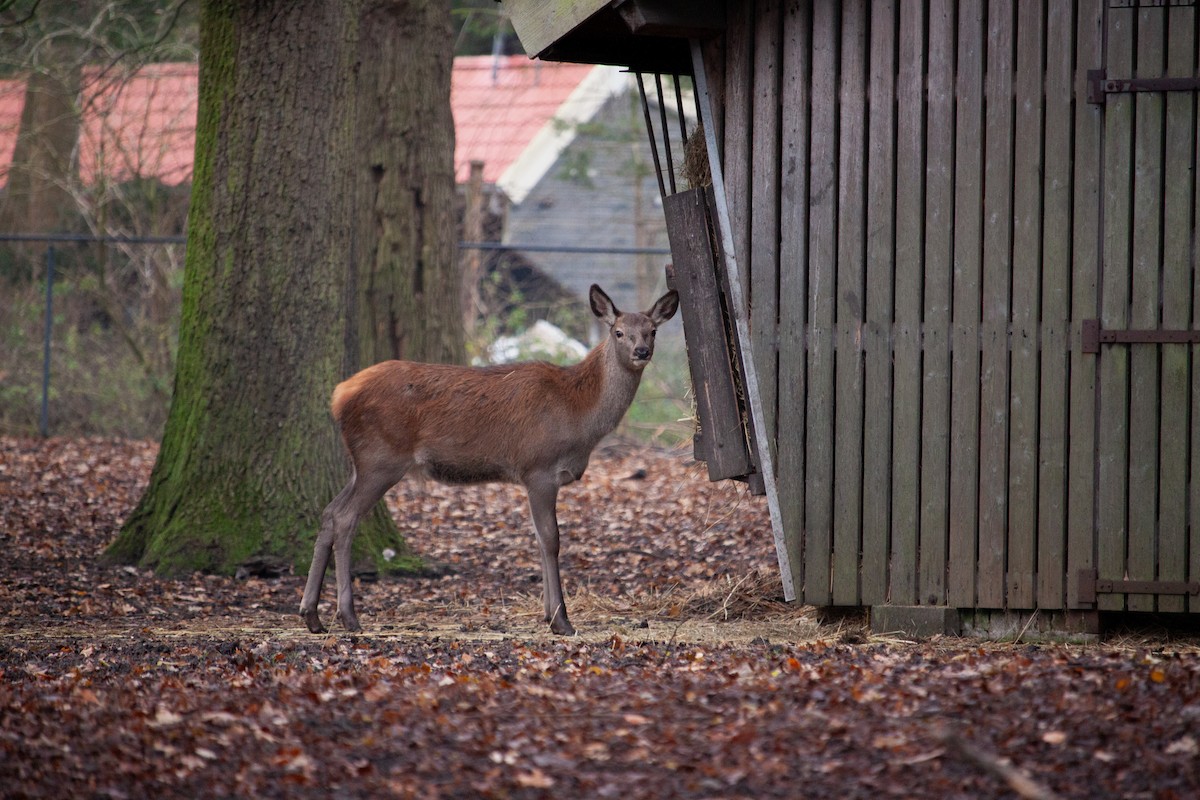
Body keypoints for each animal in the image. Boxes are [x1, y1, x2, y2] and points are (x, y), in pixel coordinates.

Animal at [300, 284, 679, 636]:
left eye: (652, 330)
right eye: (619, 332)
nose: (642, 351)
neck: (579, 414)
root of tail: (339, 395)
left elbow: (539, 538)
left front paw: (547, 615)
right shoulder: (539, 468)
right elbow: (550, 538)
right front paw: (561, 621)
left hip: (362, 463)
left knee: (330, 511)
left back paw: (312, 615)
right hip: (381, 458)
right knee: (345, 517)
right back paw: (348, 616)